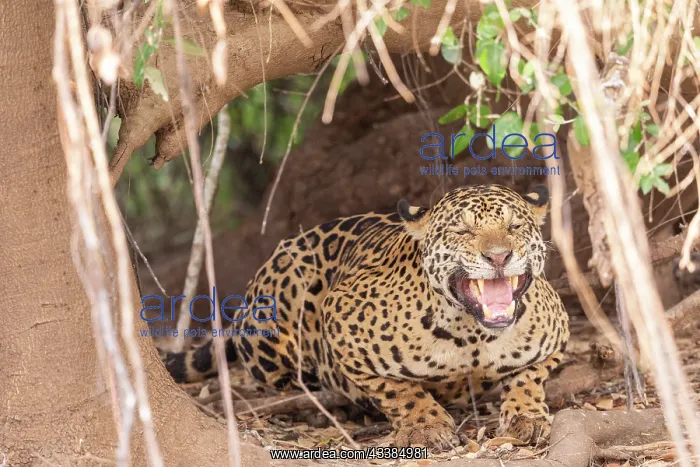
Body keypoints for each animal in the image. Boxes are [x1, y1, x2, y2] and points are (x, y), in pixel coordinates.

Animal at [163, 183, 569, 450]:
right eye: (462, 230)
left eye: (515, 226)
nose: (499, 256)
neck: (474, 335)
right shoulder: (338, 316)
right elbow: (398, 389)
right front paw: (425, 425)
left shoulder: (557, 335)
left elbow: (529, 377)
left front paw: (527, 415)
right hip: (273, 322)